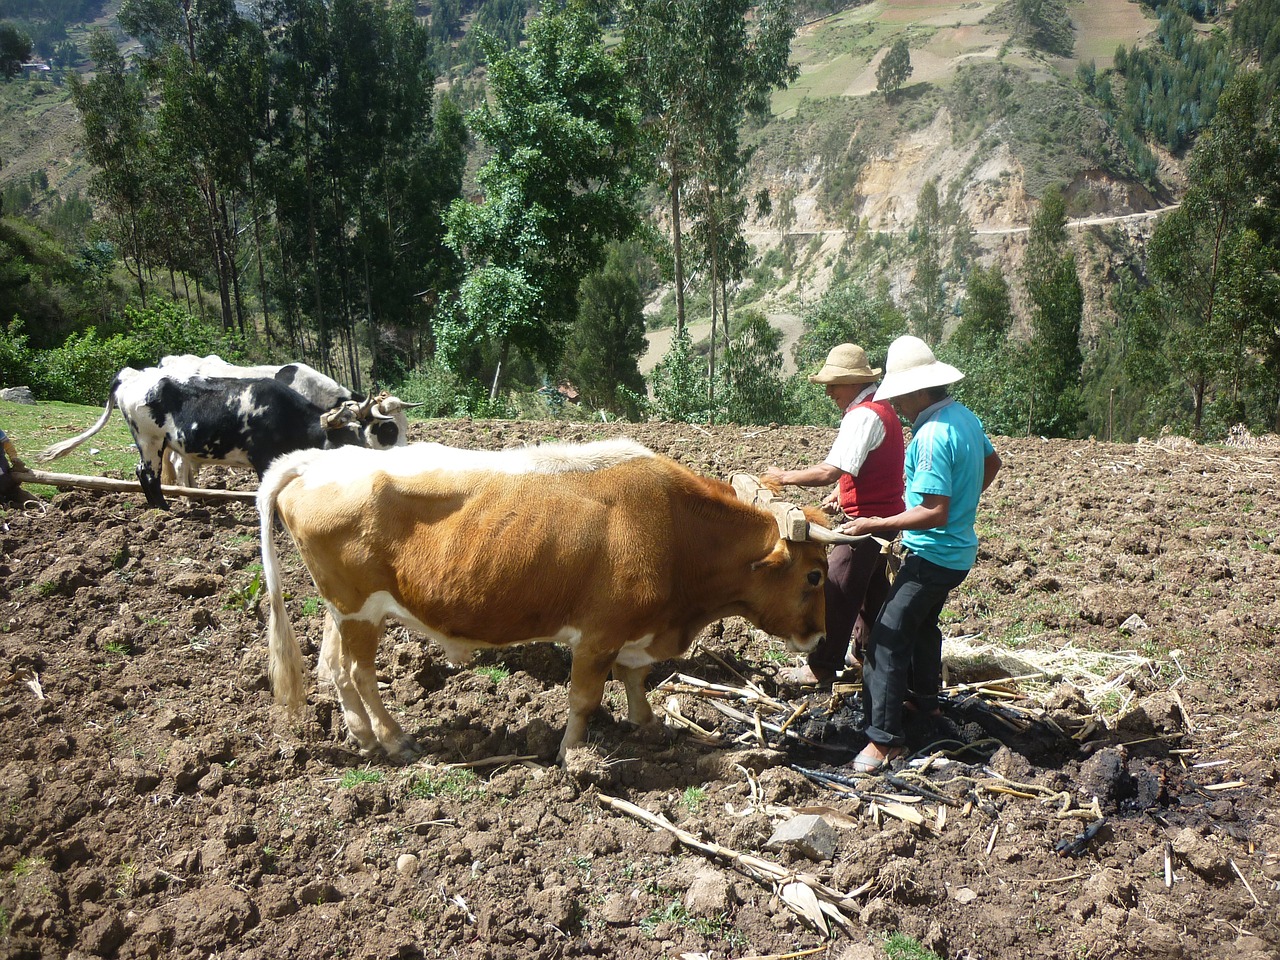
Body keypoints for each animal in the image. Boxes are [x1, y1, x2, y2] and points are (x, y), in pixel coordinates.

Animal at [38, 363, 414, 506]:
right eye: (386, 429)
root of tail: (132, 375)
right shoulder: (263, 459)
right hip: (149, 441)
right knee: (147, 473)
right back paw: (162, 509)